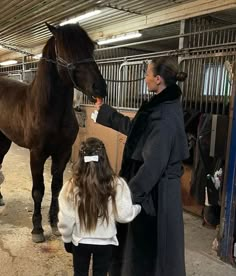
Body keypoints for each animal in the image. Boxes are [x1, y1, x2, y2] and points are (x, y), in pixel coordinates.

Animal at [0, 24, 106, 244]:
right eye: (67, 50)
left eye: (90, 48)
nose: (100, 87)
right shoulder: (37, 154)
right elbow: (38, 191)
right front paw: (37, 229)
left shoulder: (63, 153)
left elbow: (56, 187)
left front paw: (55, 225)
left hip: (4, 140)